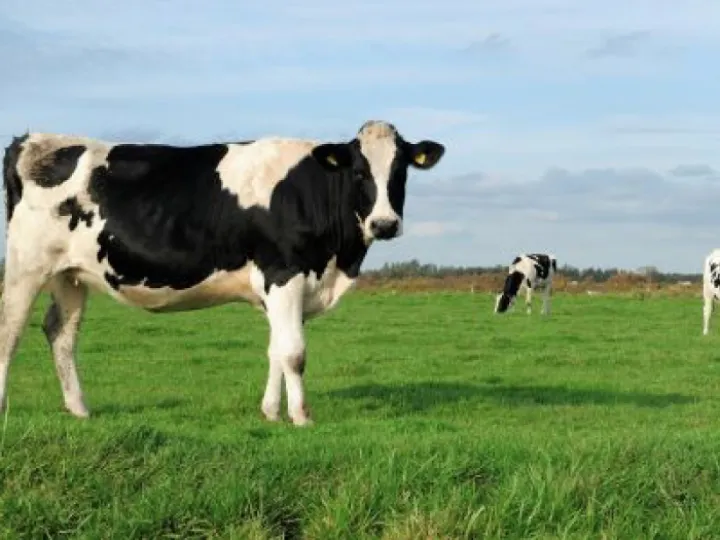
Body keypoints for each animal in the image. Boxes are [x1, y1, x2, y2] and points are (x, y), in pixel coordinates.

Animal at [0, 120, 445, 426]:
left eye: (401, 171)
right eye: (358, 172)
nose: (384, 224)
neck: (337, 261)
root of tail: (32, 139)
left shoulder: (282, 288)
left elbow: (275, 350)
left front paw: (271, 412)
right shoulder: (284, 273)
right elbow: (294, 352)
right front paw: (302, 417)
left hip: (70, 274)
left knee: (61, 333)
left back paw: (79, 409)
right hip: (26, 265)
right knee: (10, 332)